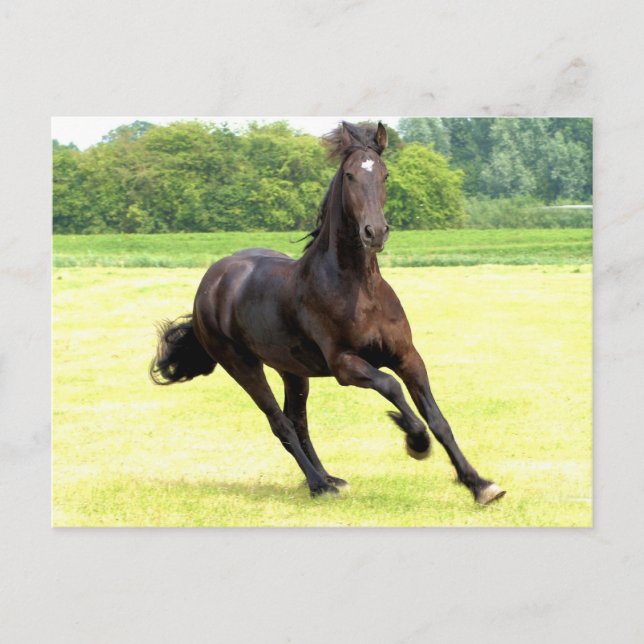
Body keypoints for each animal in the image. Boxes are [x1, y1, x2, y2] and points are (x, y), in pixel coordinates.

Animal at [150, 121, 505, 505]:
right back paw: (320, 485)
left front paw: (480, 485)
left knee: (297, 420)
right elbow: (391, 387)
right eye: (350, 175)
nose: (375, 232)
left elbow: (438, 419)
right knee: (280, 423)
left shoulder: (408, 356)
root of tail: (210, 282)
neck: (359, 289)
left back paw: (328, 478)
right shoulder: (344, 365)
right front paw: (416, 441)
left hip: (292, 371)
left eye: (385, 174)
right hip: (242, 365)